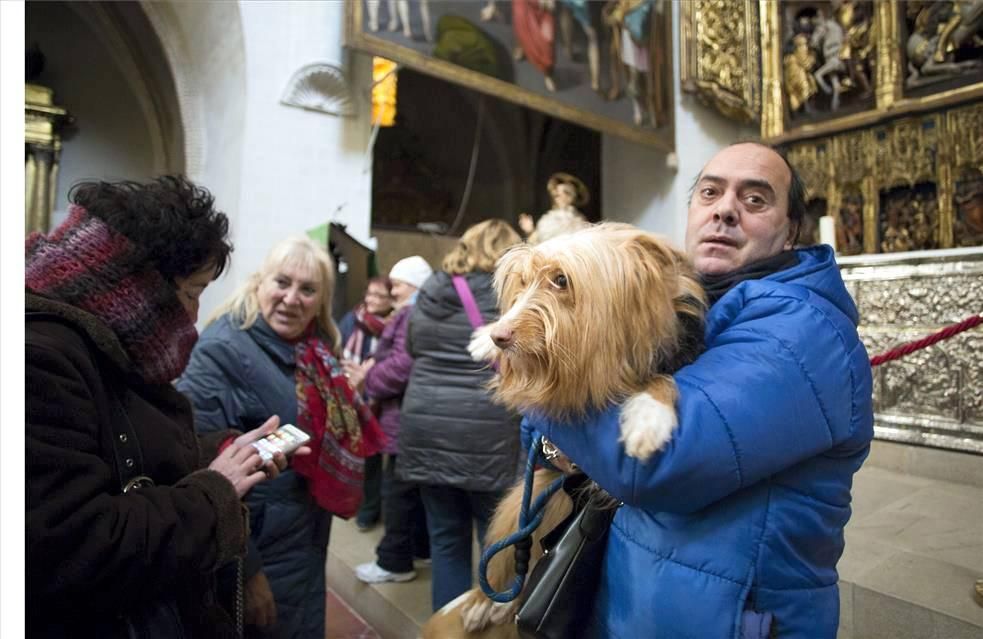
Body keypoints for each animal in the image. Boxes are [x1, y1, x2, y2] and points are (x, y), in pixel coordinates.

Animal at [418, 225, 704, 639]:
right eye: (522, 282)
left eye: (561, 280)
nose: (500, 336)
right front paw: (483, 337)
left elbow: (663, 379)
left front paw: (650, 415)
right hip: (530, 490)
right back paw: (482, 602)